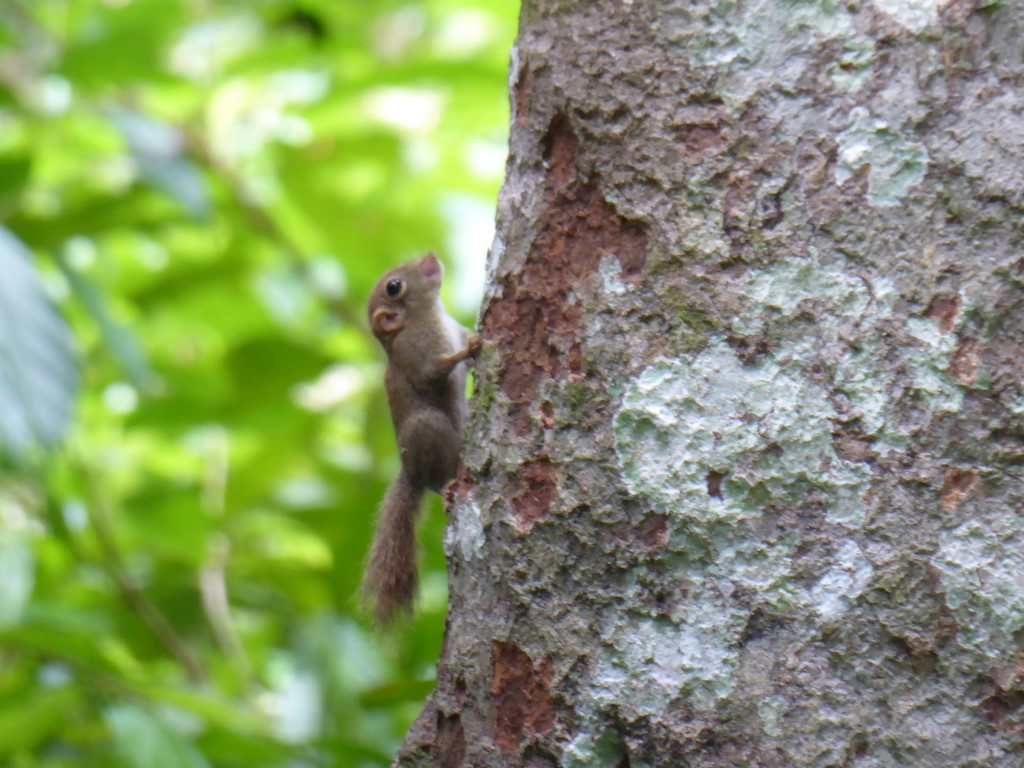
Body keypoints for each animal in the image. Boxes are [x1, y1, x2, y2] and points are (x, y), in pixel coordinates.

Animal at [362, 252, 481, 626]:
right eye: (394, 286)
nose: (430, 256)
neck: (432, 315)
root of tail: (411, 474)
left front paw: (475, 338)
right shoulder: (417, 355)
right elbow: (434, 372)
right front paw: (471, 349)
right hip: (428, 430)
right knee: (438, 481)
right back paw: (448, 487)